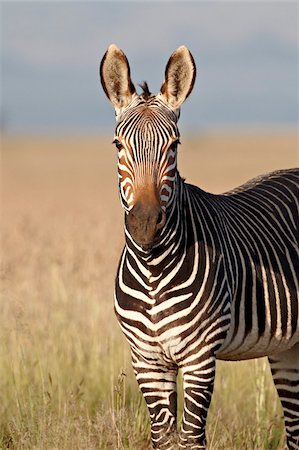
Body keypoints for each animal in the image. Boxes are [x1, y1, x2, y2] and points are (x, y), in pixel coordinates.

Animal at [101, 43, 299, 450]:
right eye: (118, 145)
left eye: (174, 145)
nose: (145, 224)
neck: (152, 270)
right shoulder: (147, 361)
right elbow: (162, 438)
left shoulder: (199, 358)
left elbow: (191, 438)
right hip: (288, 348)